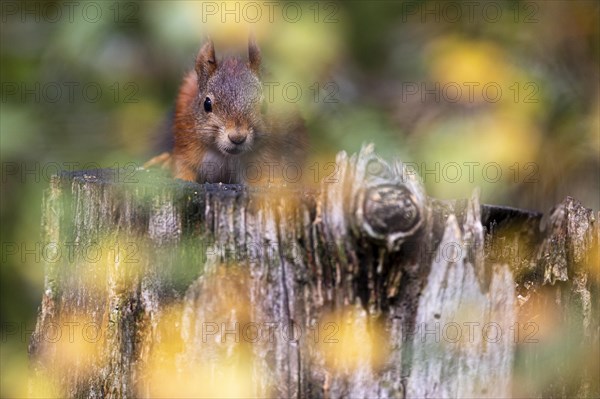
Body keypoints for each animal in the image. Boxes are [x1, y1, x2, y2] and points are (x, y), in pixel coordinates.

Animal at [146, 36, 310, 184]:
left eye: (264, 106)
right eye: (207, 104)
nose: (237, 137)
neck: (226, 156)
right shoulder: (187, 148)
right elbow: (183, 170)